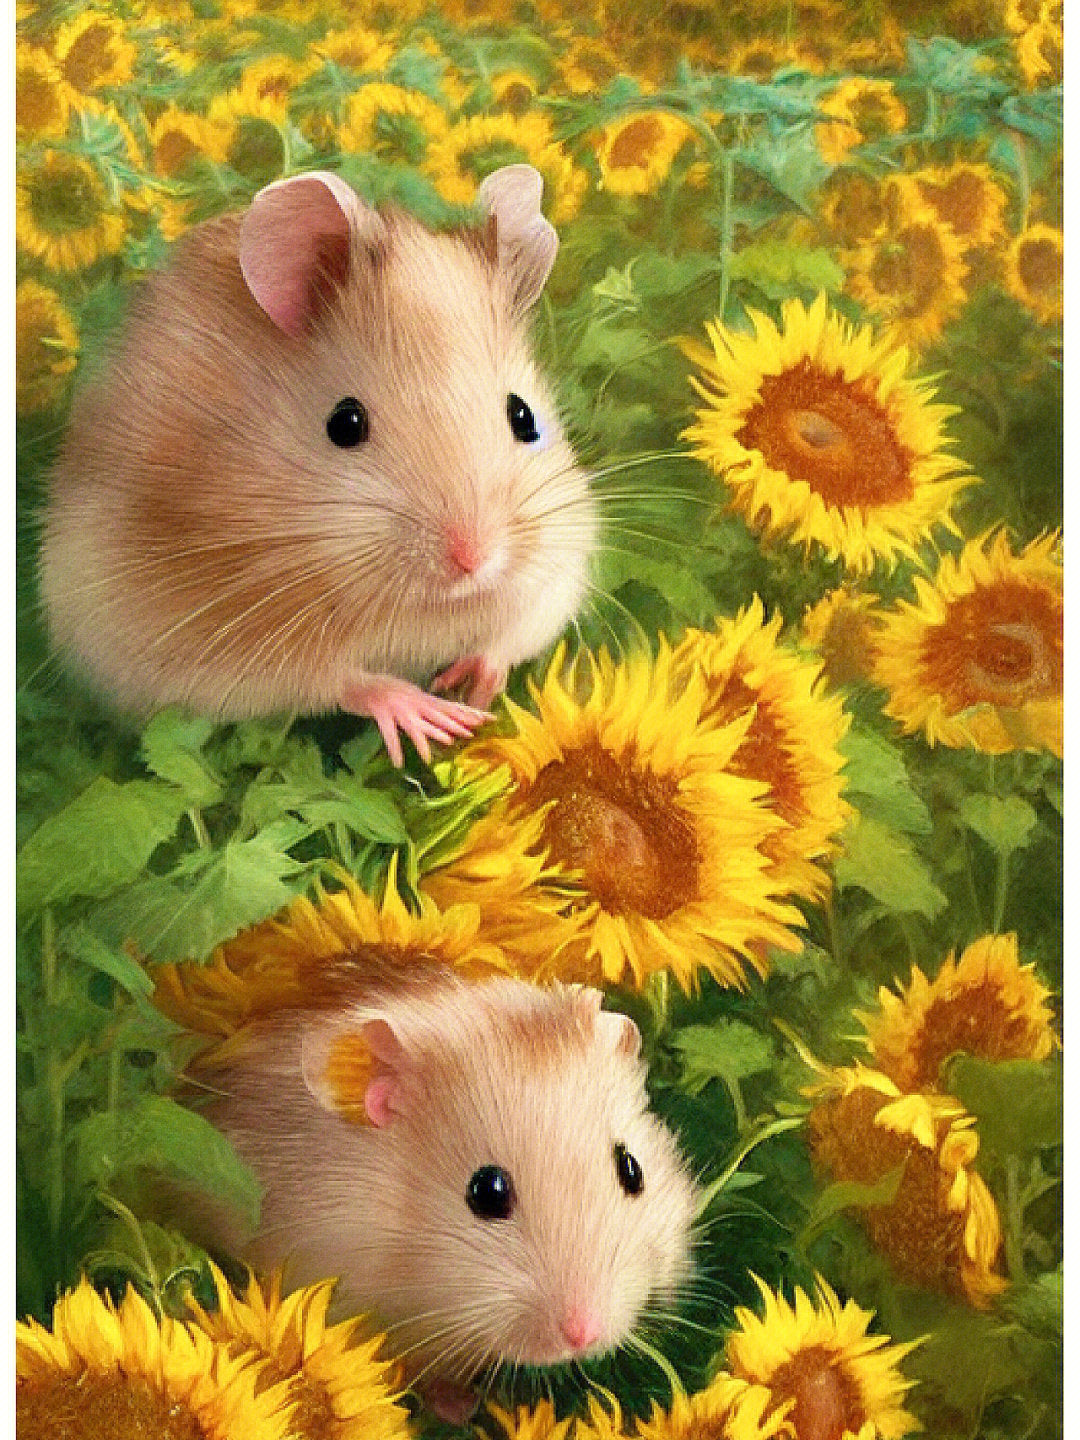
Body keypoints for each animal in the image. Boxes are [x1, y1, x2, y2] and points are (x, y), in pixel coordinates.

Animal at [39, 166, 597, 765]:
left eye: (524, 416)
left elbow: (511, 636)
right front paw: (434, 718)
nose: (473, 561)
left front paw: (475, 695)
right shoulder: (216, 635)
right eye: (345, 424)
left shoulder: (560, 559)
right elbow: (337, 678)